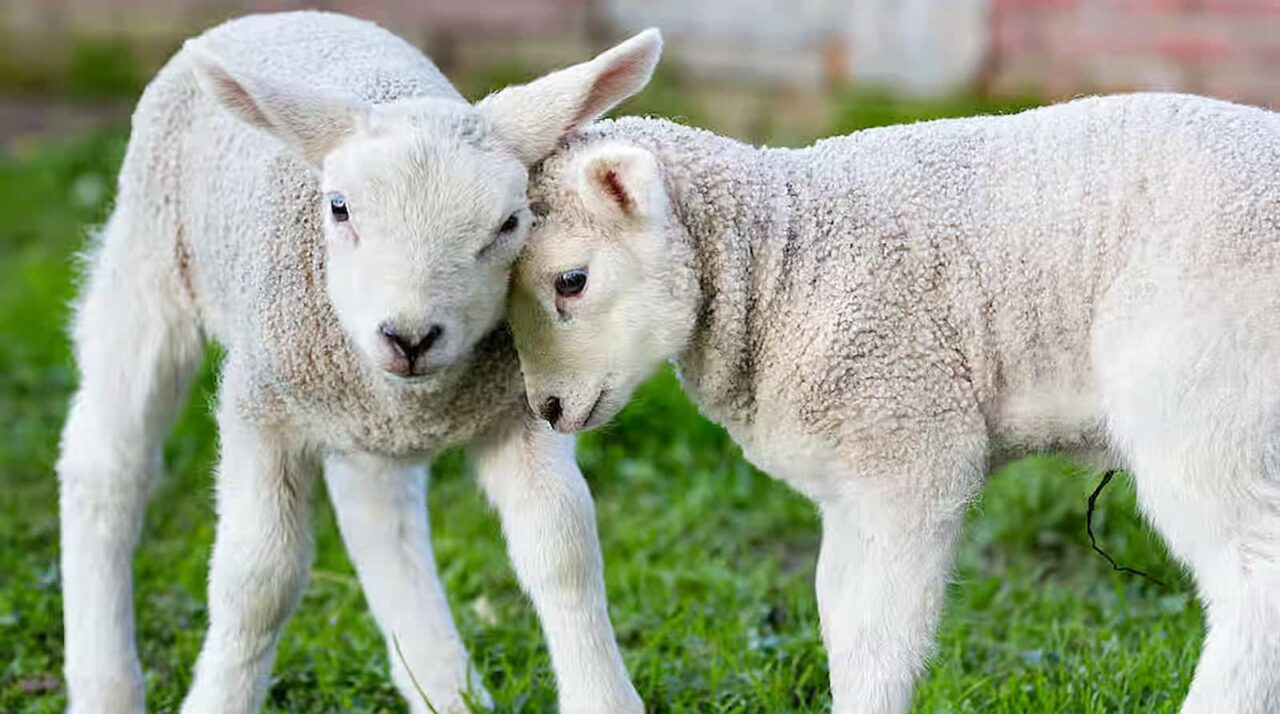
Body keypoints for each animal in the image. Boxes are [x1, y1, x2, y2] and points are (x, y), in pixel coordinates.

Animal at [55, 11, 662, 714]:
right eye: (339, 207)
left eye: (511, 224)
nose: (410, 336)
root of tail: (282, 15)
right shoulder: (261, 406)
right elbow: (257, 579)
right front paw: (220, 696)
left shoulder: (516, 408)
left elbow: (564, 549)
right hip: (148, 261)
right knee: (106, 465)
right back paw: (104, 684)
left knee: (376, 511)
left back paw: (442, 685)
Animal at [507, 93, 1280, 713]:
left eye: (571, 281)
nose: (548, 408)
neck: (780, 258)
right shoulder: (849, 483)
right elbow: (838, 615)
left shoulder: (908, 444)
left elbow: (879, 638)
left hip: (1203, 389)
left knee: (1256, 575)